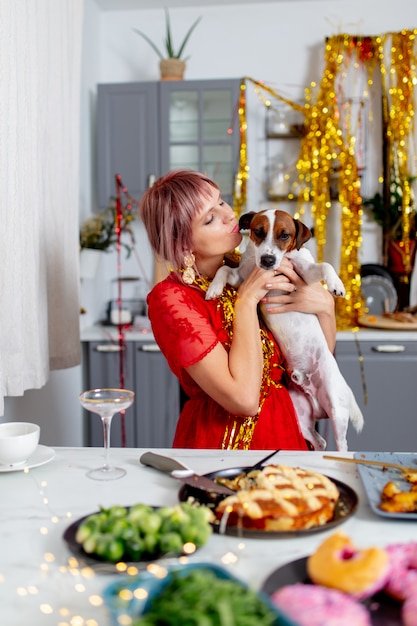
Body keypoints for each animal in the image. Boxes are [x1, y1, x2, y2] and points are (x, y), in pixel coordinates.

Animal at [206, 208, 362, 448]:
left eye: (285, 235)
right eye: (258, 232)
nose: (267, 260)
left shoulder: (304, 273)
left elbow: (325, 265)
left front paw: (336, 284)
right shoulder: (242, 276)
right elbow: (223, 268)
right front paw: (214, 288)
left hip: (336, 407)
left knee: (341, 443)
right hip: (301, 415)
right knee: (319, 441)